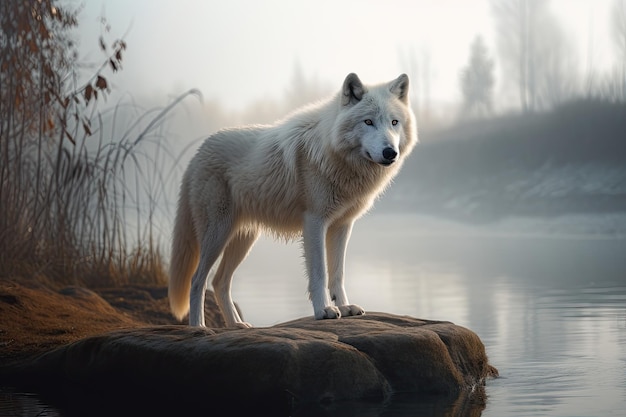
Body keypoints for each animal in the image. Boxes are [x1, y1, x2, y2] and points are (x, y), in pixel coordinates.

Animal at [168, 73, 416, 326]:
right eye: (368, 122)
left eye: (394, 122)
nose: (390, 152)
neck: (332, 152)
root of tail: (197, 154)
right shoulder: (315, 222)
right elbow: (320, 272)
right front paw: (324, 310)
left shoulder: (342, 226)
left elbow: (338, 273)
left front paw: (345, 307)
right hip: (218, 234)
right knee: (197, 280)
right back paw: (199, 327)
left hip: (242, 239)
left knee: (219, 282)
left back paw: (237, 325)